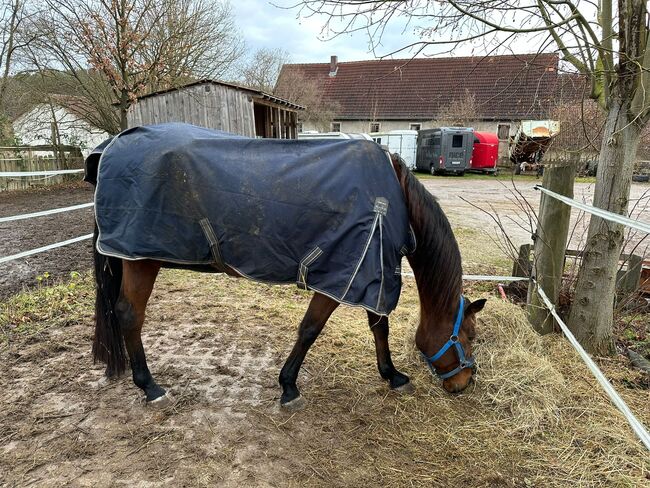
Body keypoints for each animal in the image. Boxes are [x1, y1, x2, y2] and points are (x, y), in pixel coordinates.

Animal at [86, 125, 484, 408]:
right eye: (470, 336)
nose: (465, 383)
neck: (392, 198)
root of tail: (113, 144)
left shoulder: (370, 274)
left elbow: (378, 326)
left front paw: (392, 375)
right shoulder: (345, 276)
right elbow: (310, 330)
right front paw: (289, 386)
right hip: (140, 258)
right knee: (129, 314)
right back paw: (150, 387)